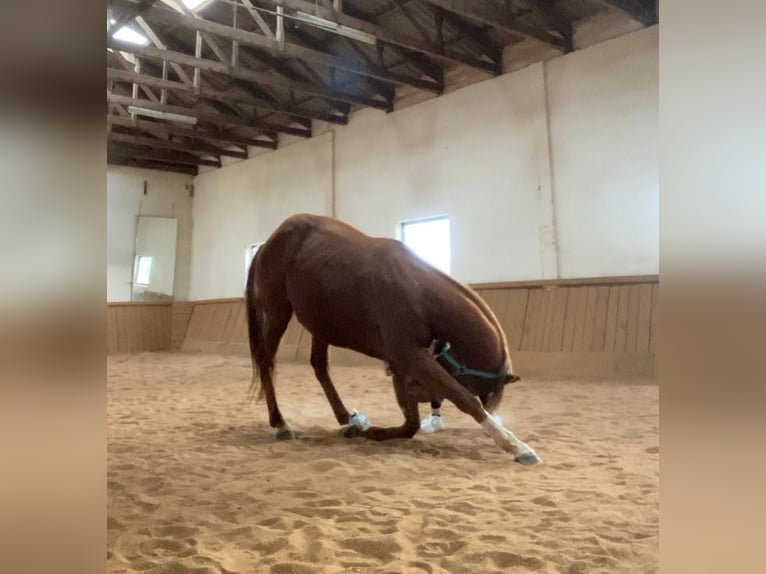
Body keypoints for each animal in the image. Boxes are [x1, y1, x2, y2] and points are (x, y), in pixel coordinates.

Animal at [245, 214, 541, 465]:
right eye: (475, 387)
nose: (417, 391)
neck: (416, 288)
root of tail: (269, 242)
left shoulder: (403, 363)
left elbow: (411, 424)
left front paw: (370, 431)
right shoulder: (408, 356)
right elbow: (461, 398)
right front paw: (516, 446)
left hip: (321, 325)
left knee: (319, 366)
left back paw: (347, 418)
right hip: (278, 312)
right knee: (266, 360)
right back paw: (281, 423)